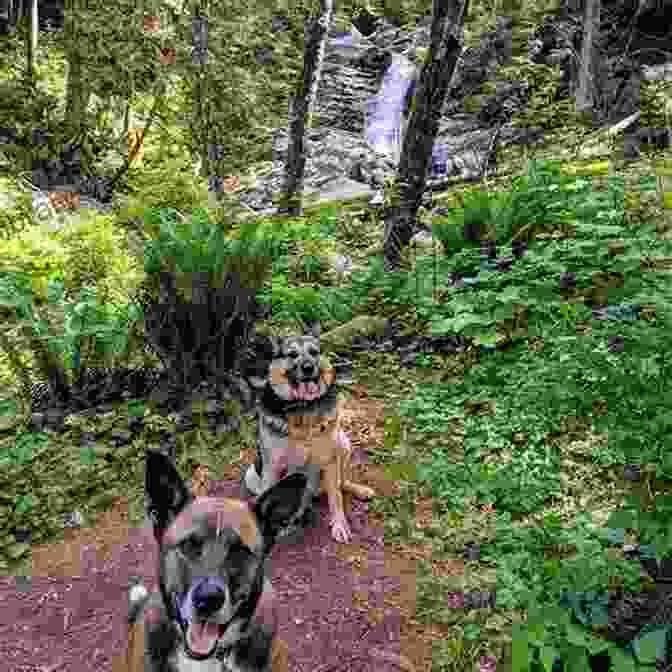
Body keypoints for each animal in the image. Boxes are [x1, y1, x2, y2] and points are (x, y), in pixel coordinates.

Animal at [243, 322, 378, 544]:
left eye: (314, 352)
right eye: (292, 354)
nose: (308, 368)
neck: (303, 406)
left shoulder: (330, 460)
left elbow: (336, 498)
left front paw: (340, 525)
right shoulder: (273, 466)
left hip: (343, 444)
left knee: (340, 483)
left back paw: (358, 490)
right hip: (253, 474)